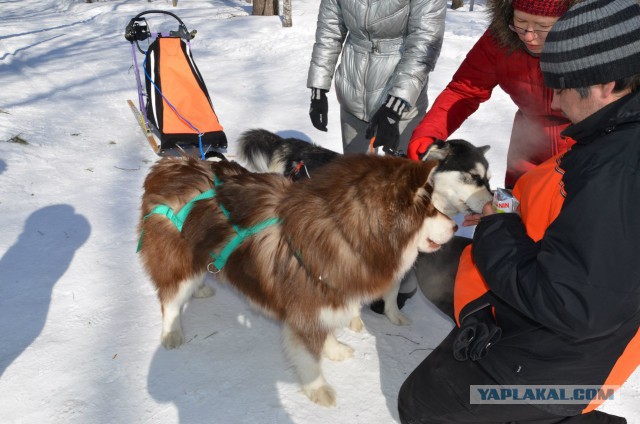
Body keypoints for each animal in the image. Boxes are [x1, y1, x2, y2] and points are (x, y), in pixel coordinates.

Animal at [139, 154, 460, 406]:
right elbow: (309, 358)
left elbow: (328, 332)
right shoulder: (306, 309)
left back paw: (202, 289)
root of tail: (169, 163)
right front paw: (318, 389)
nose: (457, 227)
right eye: (430, 208)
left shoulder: (328, 298)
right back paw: (172, 332)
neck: (344, 234)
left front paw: (334, 349)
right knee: (170, 298)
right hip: (177, 261)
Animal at [238, 127, 492, 322]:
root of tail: (292, 145)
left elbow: (392, 291)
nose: (493, 202)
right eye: (473, 176)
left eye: (488, 179)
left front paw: (392, 314)